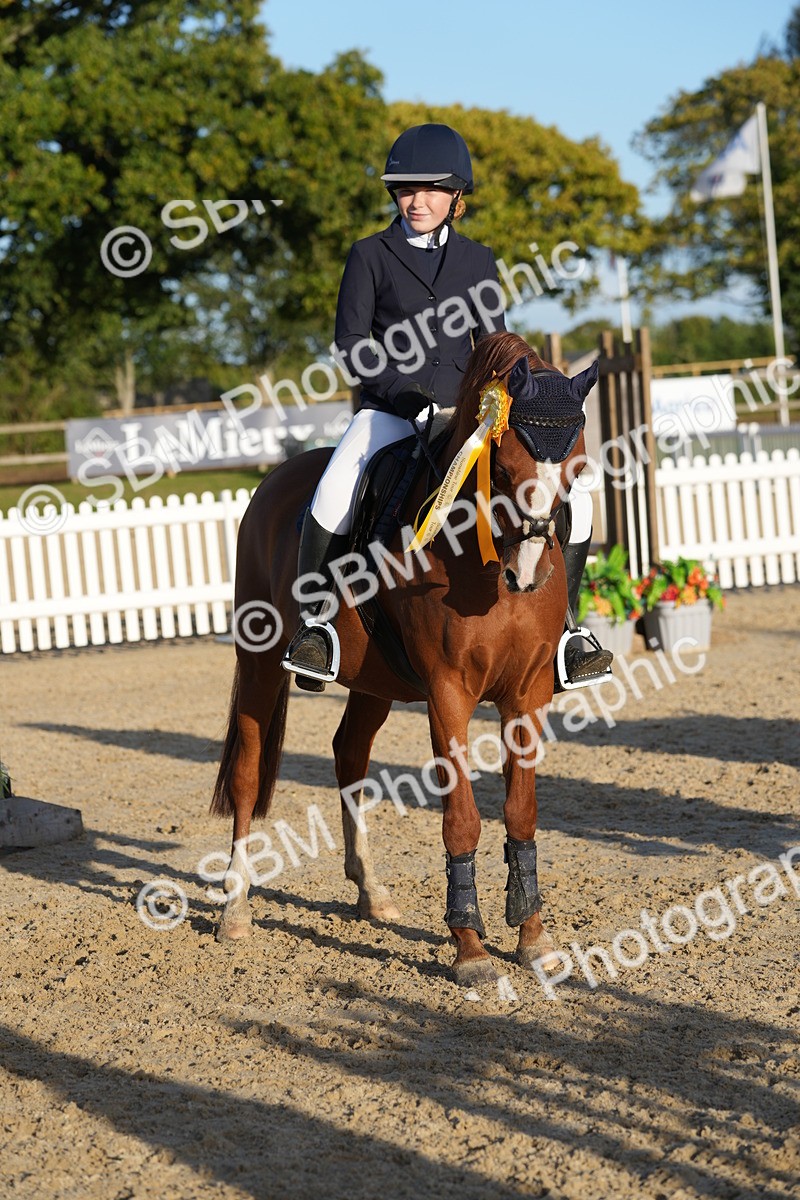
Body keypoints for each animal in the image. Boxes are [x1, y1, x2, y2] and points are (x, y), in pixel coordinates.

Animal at [210, 330, 597, 986]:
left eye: (578, 469)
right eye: (504, 467)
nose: (528, 575)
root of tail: (276, 478)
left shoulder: (528, 694)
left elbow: (521, 812)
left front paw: (533, 940)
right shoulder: (448, 694)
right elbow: (461, 817)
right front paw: (470, 951)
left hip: (376, 682)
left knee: (350, 756)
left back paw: (371, 891)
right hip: (260, 663)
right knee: (247, 772)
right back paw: (235, 910)